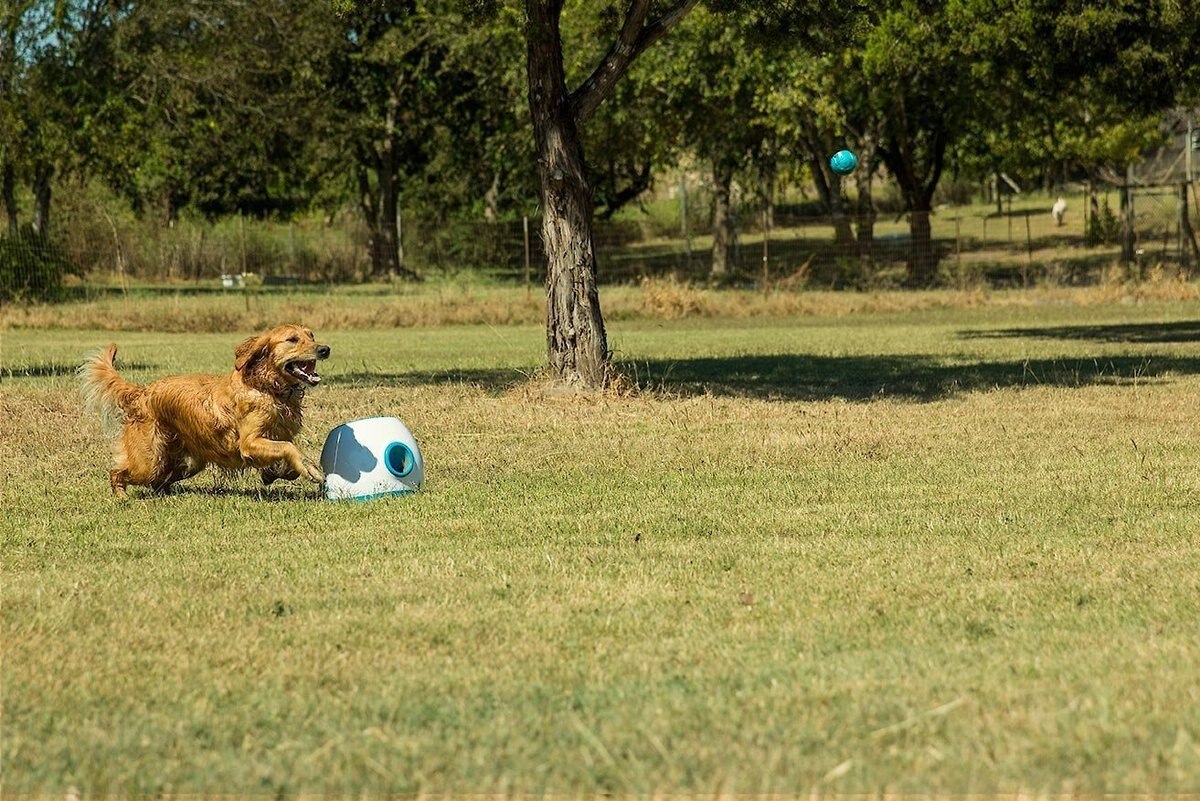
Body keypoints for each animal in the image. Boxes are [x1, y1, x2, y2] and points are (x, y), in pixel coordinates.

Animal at [81, 323, 328, 496]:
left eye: (311, 335)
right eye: (292, 339)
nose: (325, 349)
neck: (266, 388)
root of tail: (142, 392)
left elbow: (286, 459)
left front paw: (276, 473)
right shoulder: (249, 442)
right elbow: (288, 448)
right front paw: (311, 469)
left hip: (187, 464)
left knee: (160, 480)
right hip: (148, 462)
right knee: (118, 473)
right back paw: (122, 496)